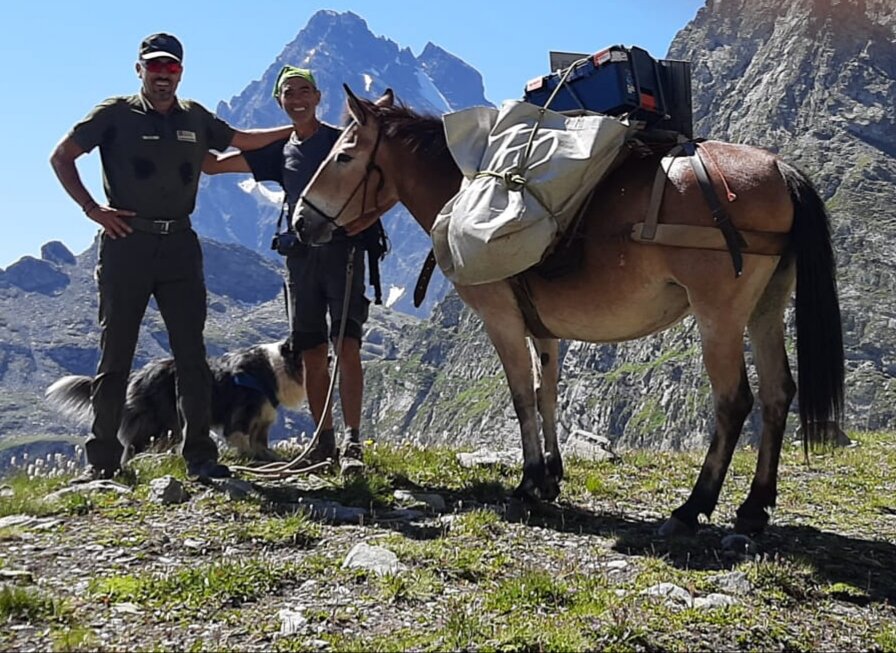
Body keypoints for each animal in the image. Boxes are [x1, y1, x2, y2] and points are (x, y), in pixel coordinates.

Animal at [44, 342, 304, 464]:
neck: (275, 368)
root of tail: (136, 375)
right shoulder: (242, 412)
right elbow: (240, 437)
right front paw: (249, 457)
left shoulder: (263, 417)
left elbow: (260, 441)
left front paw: (270, 457)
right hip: (156, 423)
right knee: (134, 448)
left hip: (171, 428)